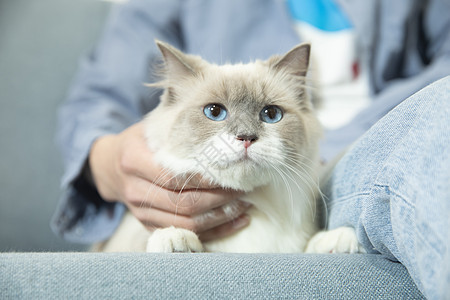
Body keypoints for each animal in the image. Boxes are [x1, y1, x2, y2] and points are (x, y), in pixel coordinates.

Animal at [97, 41, 362, 254]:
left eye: (271, 114)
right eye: (215, 112)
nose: (246, 137)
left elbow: (313, 245)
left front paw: (339, 239)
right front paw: (174, 238)